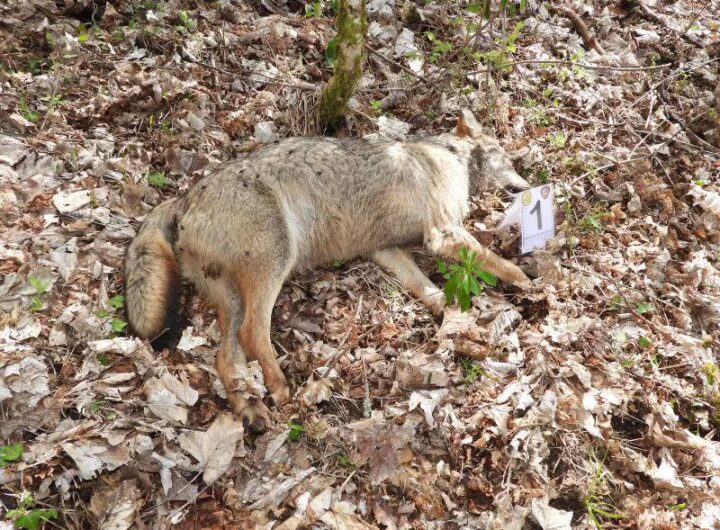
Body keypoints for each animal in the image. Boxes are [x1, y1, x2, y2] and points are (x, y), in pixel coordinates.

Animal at [124, 110, 530, 431]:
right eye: (509, 160)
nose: (528, 185)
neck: (450, 157)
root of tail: (183, 197)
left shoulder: (386, 250)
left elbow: (429, 290)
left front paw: (458, 322)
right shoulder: (442, 233)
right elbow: (498, 263)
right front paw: (529, 284)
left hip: (233, 296)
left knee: (227, 356)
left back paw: (251, 410)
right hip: (276, 260)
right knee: (253, 333)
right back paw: (279, 387)